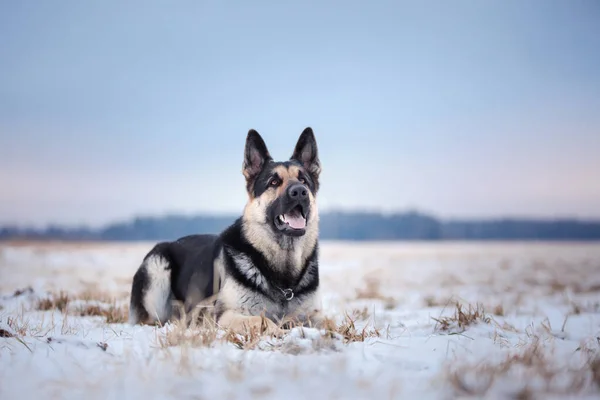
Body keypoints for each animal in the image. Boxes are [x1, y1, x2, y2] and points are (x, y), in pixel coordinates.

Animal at [127, 128, 324, 334]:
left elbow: (326, 322)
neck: (284, 277)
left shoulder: (314, 315)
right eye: (273, 182)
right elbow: (262, 320)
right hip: (157, 268)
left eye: (303, 180)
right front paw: (280, 332)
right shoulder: (226, 316)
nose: (300, 191)